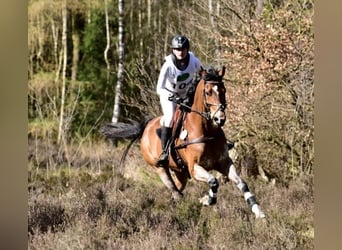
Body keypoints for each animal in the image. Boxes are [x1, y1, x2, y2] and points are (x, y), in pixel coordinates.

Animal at [100, 65, 266, 218]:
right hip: (160, 169)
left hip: (180, 172)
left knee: (176, 193)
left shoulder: (224, 163)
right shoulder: (195, 168)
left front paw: (258, 212)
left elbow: (242, 183)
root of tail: (145, 126)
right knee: (175, 192)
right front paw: (207, 200)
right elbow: (213, 181)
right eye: (208, 92)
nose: (220, 119)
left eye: (223, 90)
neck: (207, 130)